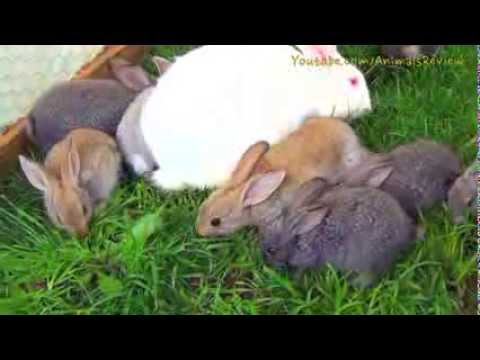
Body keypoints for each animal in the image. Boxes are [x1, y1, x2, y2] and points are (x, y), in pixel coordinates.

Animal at [258, 179, 420, 288]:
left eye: (271, 250)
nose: (266, 262)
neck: (298, 237)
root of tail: (404, 234)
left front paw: (295, 279)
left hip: (367, 258)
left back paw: (355, 284)